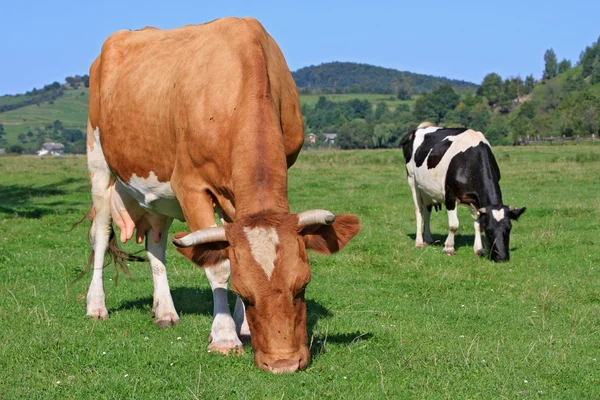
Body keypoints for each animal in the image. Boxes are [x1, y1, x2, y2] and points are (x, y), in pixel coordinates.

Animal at [85, 15, 360, 372]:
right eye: (245, 293)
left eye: (303, 286)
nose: (283, 363)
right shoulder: (189, 185)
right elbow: (219, 265)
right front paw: (225, 337)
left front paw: (243, 329)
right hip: (99, 162)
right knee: (101, 234)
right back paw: (96, 305)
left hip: (156, 193)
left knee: (156, 244)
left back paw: (165, 311)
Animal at [400, 122, 524, 262]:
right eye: (489, 230)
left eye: (508, 229)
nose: (502, 258)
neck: (470, 161)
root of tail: (419, 129)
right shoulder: (449, 196)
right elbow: (454, 225)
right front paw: (448, 248)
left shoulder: (475, 200)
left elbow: (477, 223)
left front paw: (478, 249)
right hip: (412, 181)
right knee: (419, 211)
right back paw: (419, 242)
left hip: (427, 189)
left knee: (427, 211)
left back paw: (428, 239)